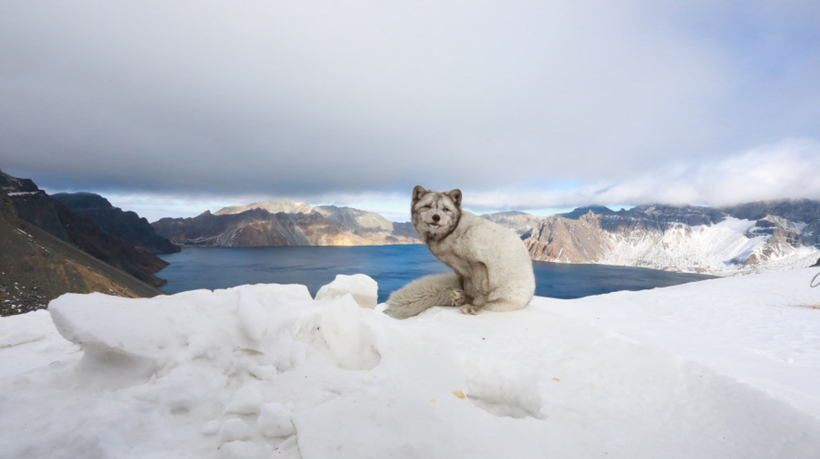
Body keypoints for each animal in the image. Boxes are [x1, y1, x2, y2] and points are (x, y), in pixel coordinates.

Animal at [386, 187, 540, 320]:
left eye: (445, 209)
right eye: (427, 206)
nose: (436, 217)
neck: (452, 233)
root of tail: (528, 300)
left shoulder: (477, 262)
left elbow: (479, 291)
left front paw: (475, 307)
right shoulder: (460, 270)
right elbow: (468, 289)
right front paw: (464, 300)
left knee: (491, 302)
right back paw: (458, 298)